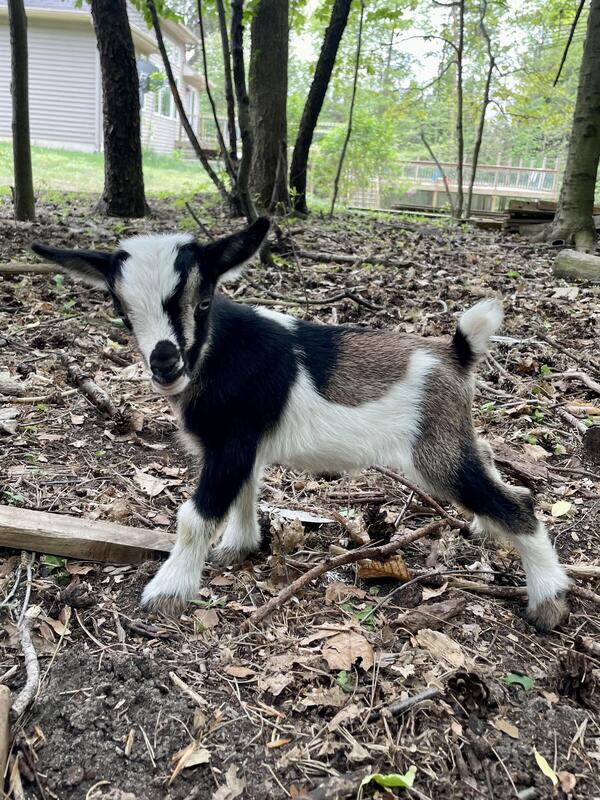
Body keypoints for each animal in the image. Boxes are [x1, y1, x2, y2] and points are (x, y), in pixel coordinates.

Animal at [32, 218, 570, 631]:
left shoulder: (229, 444)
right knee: (495, 474)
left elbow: (195, 516)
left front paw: (169, 590)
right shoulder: (242, 447)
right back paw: (486, 530)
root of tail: (456, 353)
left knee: (518, 503)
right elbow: (245, 493)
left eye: (202, 301)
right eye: (122, 312)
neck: (219, 351)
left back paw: (548, 599)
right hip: (454, 436)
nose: (165, 364)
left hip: (432, 451)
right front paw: (239, 547)